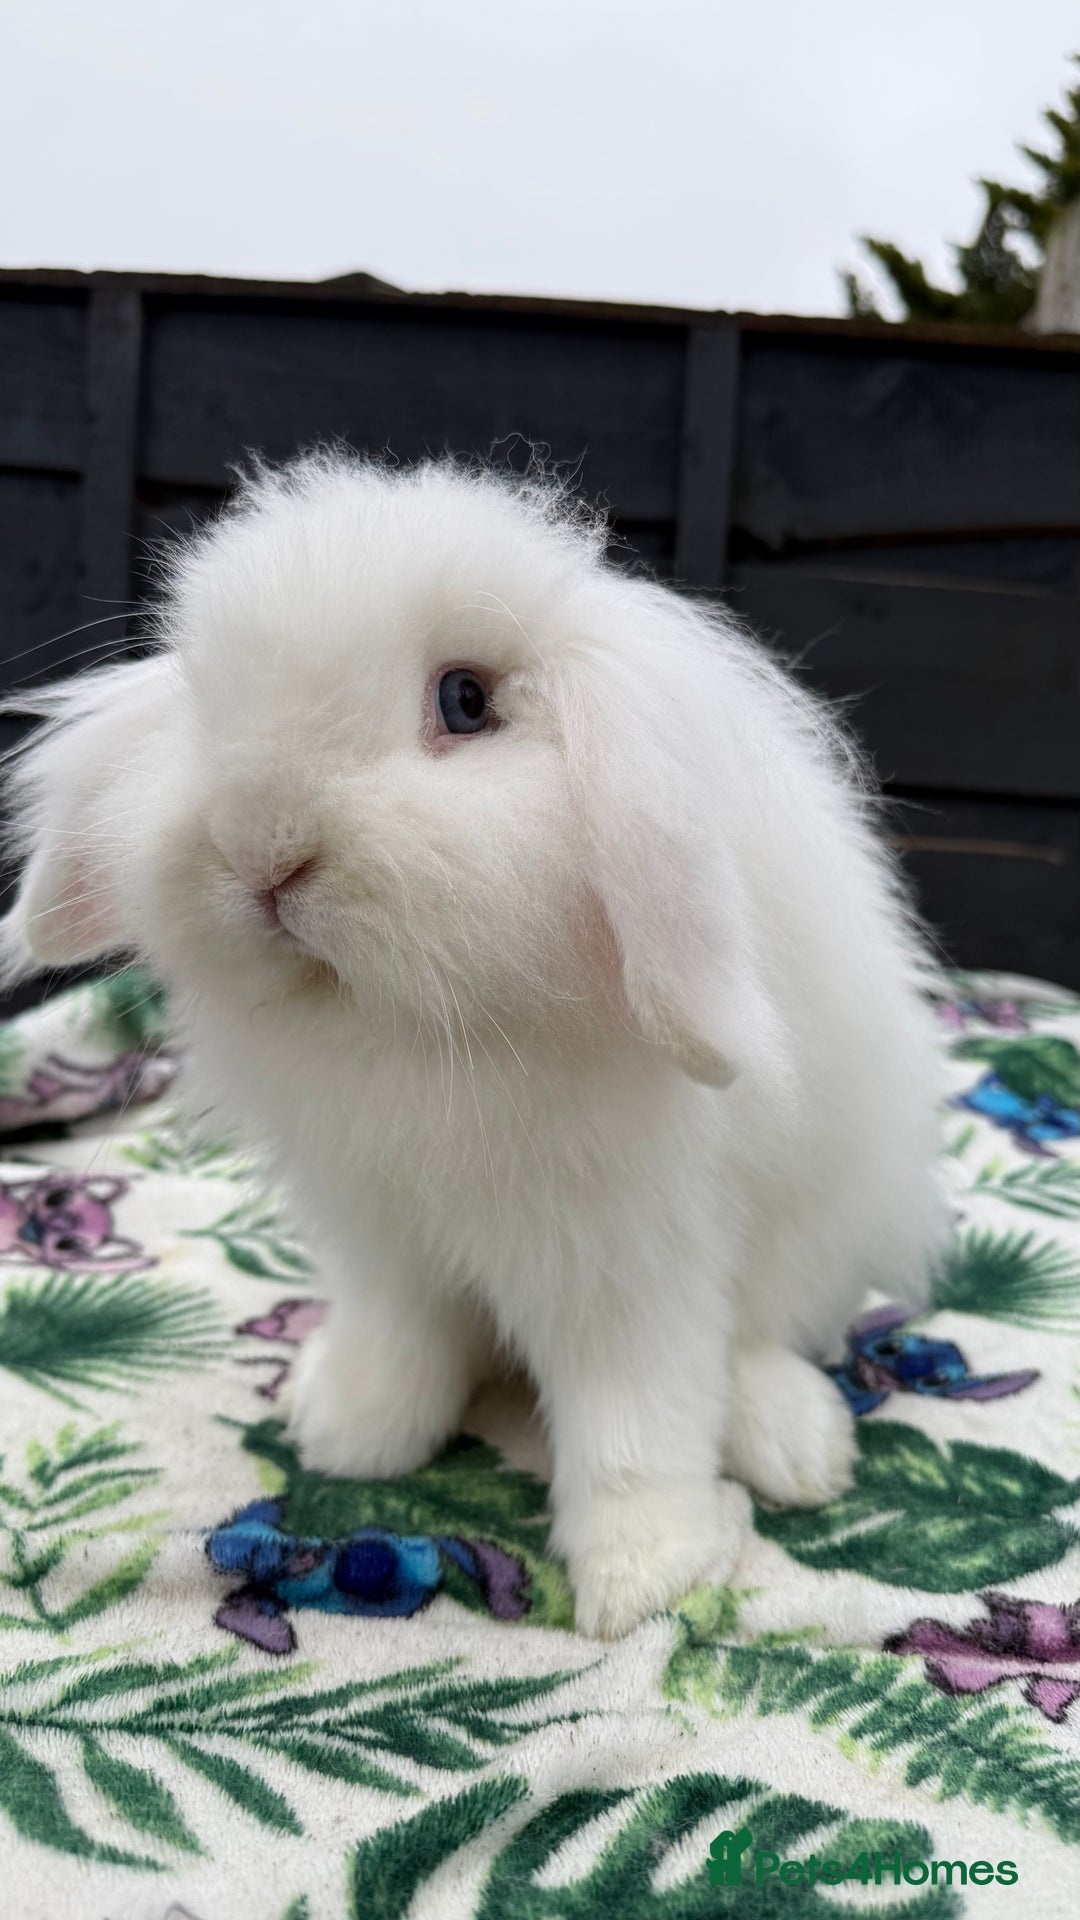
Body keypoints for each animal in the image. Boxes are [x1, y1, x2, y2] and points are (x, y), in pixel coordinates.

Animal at [0, 452, 946, 1637]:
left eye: (466, 700)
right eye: (208, 701)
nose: (259, 845)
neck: (413, 1027)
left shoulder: (629, 1254)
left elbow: (638, 1414)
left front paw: (643, 1577)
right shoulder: (384, 1236)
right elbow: (404, 1341)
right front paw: (353, 1435)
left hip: (818, 1228)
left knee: (764, 1338)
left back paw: (796, 1447)